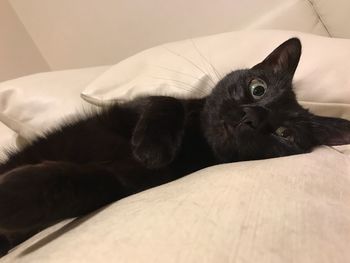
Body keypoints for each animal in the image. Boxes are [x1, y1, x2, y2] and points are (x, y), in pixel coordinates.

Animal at [0, 37, 350, 256]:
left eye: (284, 133)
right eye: (258, 89)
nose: (250, 117)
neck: (195, 141)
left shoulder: (123, 181)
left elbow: (75, 181)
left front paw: (12, 196)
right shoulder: (142, 106)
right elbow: (165, 101)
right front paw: (152, 148)